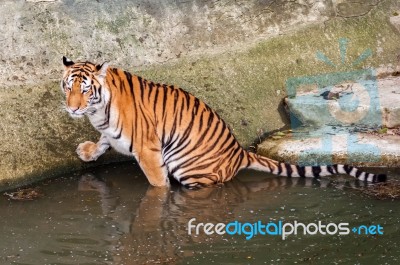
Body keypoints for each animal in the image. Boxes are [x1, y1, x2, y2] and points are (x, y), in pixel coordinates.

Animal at [61, 56, 386, 188]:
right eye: (68, 87)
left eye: (86, 89)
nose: (72, 108)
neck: (99, 110)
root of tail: (240, 152)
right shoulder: (108, 132)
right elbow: (103, 142)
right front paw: (86, 151)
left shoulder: (147, 150)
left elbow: (157, 184)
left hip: (188, 167)